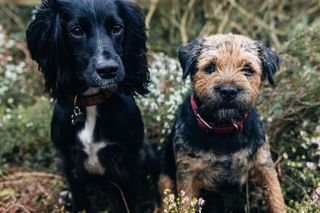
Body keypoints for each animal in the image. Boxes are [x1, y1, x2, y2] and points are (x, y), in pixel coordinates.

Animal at [26, 0, 150, 211]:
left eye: (117, 28)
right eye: (76, 31)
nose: (108, 70)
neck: (92, 103)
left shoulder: (133, 156)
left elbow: (131, 198)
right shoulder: (67, 159)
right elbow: (79, 197)